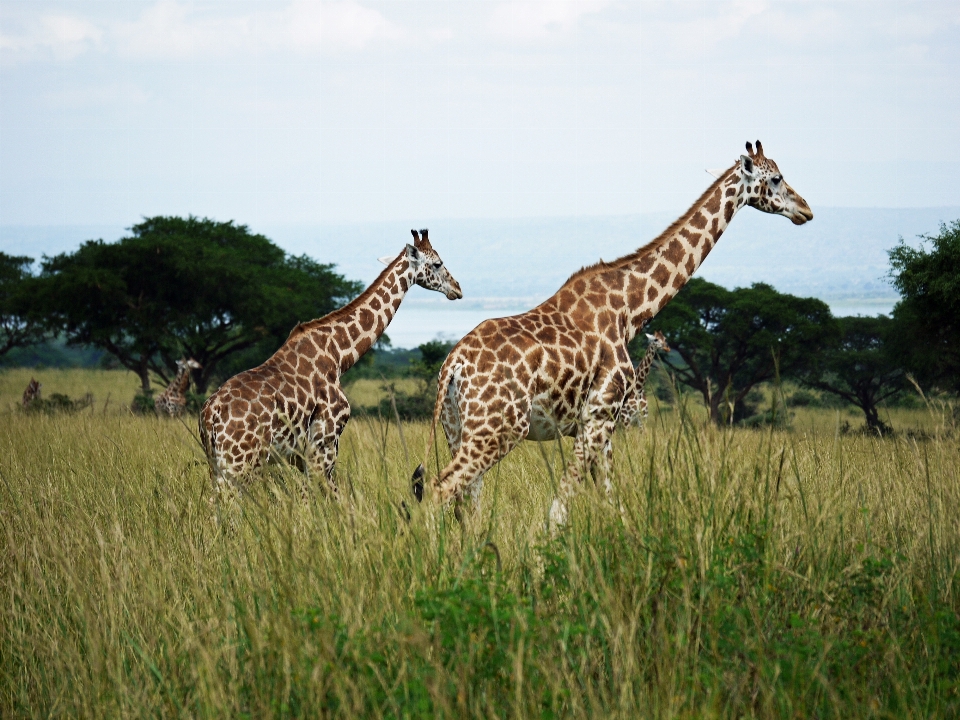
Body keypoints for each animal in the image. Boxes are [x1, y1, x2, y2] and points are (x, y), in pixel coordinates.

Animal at [201, 229, 464, 496]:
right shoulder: (325, 442)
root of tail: (211, 415)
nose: (457, 288)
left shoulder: (302, 455)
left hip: (218, 465)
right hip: (241, 462)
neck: (338, 355)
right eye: (437, 263)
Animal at [412, 141, 808, 524]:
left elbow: (610, 502)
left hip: (458, 428)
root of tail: (454, 364)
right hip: (499, 428)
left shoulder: (602, 427)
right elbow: (559, 510)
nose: (805, 209)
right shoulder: (599, 416)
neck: (629, 310)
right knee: (439, 490)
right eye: (776, 178)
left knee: (466, 503)